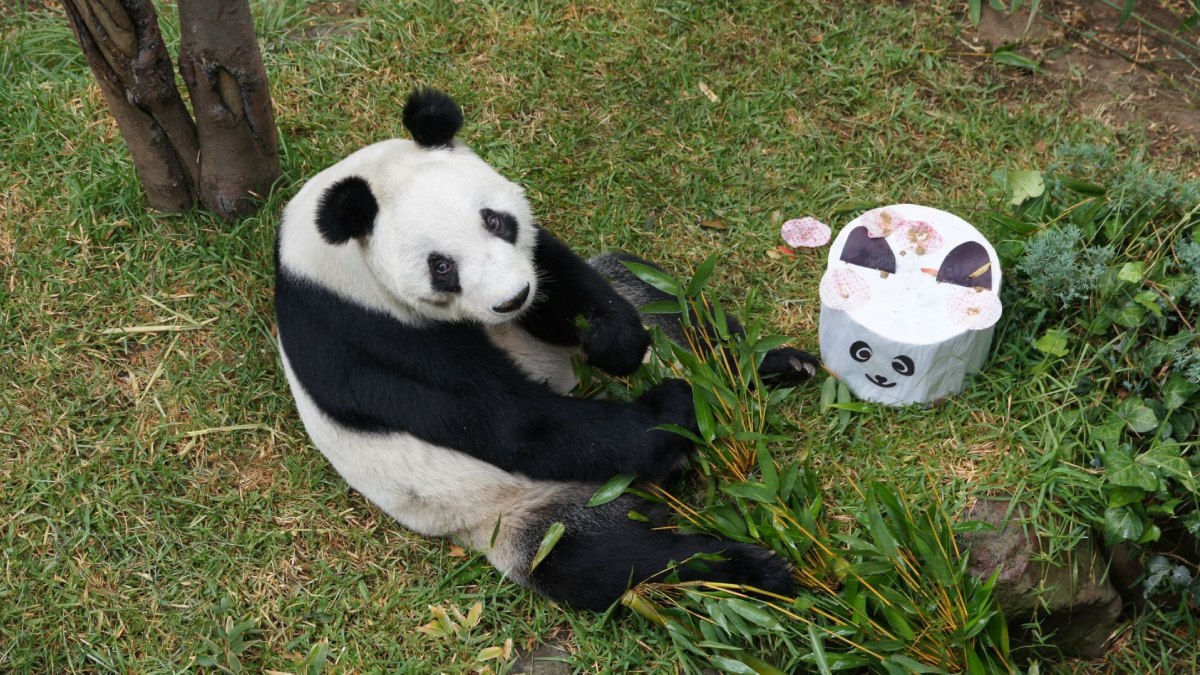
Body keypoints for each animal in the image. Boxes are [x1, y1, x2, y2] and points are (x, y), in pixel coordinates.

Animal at [275, 89, 818, 610]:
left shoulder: (536, 272)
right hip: (520, 508)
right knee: (606, 561)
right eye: (441, 267)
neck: (333, 254)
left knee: (659, 300)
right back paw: (751, 567)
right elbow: (508, 419)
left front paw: (617, 345)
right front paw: (670, 408)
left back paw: (767, 367)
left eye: (495, 221)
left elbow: (561, 275)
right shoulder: (365, 334)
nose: (512, 299)